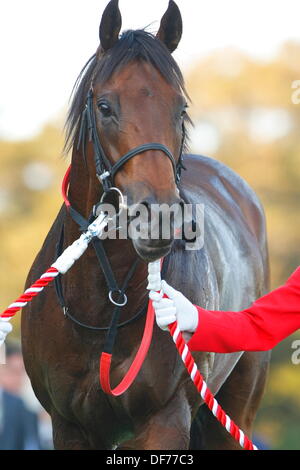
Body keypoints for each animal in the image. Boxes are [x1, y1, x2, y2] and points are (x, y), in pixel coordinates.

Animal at [20, 0, 270, 450]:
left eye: (180, 109)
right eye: (105, 107)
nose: (160, 219)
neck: (105, 300)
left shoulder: (166, 418)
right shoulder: (68, 425)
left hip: (237, 405)